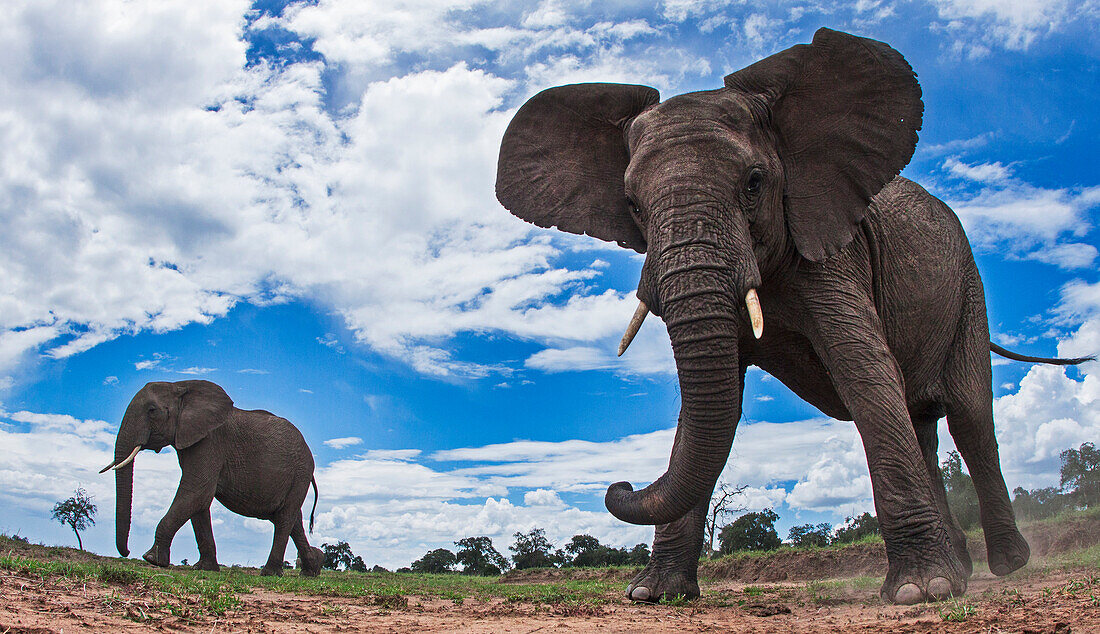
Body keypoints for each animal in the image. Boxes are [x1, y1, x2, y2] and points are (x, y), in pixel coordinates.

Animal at [99, 378, 323, 576]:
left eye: (152, 410)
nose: (127, 551)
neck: (180, 385)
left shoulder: (210, 442)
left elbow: (196, 492)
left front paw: (152, 559)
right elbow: (199, 502)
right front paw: (204, 569)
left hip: (300, 473)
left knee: (284, 518)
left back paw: (270, 573)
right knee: (293, 520)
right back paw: (309, 572)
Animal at [497, 28, 1091, 603]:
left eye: (754, 183)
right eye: (633, 205)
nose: (618, 486)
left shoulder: (834, 251)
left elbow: (864, 375)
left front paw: (921, 592)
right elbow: (707, 409)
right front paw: (651, 594)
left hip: (968, 288)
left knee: (971, 420)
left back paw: (1007, 565)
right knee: (920, 423)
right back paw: (964, 568)